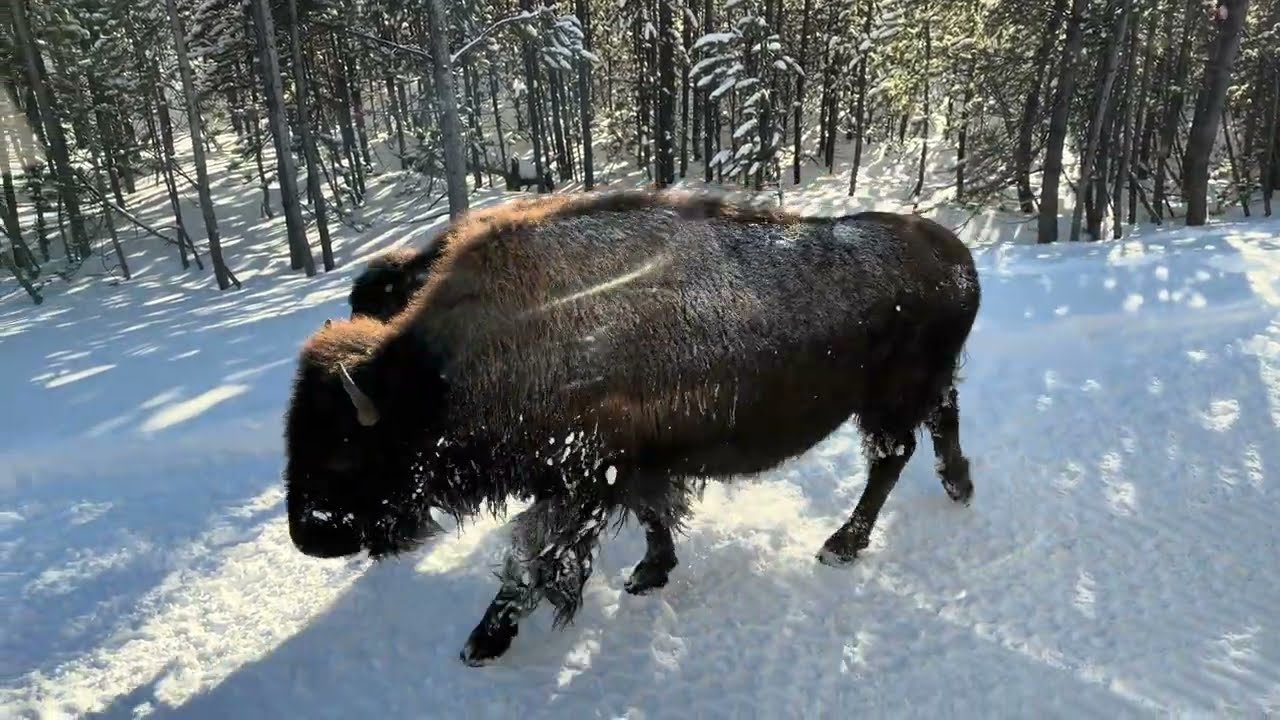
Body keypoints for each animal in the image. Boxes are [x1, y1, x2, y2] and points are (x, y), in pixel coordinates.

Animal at [283, 188, 981, 666]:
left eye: (344, 451)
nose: (309, 537)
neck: (442, 376)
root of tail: (958, 257)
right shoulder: (632, 467)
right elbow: (651, 515)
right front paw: (651, 573)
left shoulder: (578, 484)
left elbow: (529, 559)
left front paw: (483, 641)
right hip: (924, 387)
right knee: (939, 425)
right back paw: (958, 488)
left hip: (889, 401)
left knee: (890, 456)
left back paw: (841, 544)